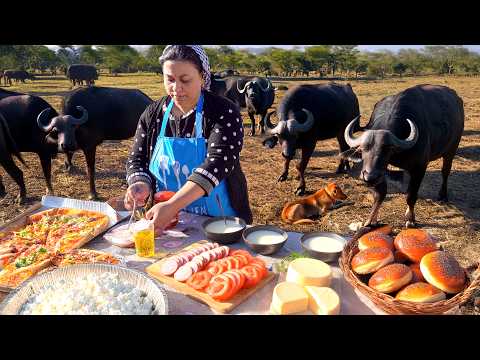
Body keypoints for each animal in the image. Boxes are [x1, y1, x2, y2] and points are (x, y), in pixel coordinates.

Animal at [342, 83, 464, 228]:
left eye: (387, 149)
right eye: (362, 149)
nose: (369, 177)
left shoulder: (419, 168)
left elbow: (411, 195)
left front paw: (410, 219)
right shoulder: (381, 171)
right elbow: (380, 194)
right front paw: (371, 219)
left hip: (451, 150)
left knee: (445, 171)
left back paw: (443, 195)